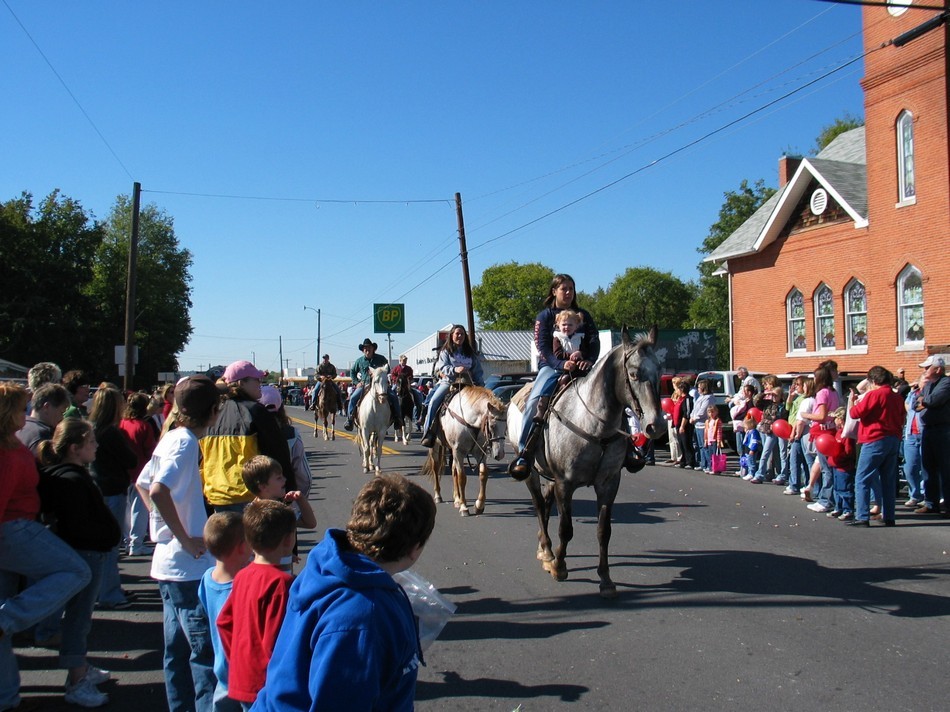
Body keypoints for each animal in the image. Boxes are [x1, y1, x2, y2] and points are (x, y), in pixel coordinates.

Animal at [424, 386, 510, 516]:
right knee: (436, 467)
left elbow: (483, 474)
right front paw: (464, 507)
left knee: (453, 469)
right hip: (435, 447)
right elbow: (462, 477)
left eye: (506, 427)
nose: (500, 454)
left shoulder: (478, 452)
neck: (470, 422)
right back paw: (438, 496)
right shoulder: (459, 451)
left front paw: (479, 505)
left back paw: (457, 498)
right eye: (492, 426)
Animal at [510, 326, 664, 596]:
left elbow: (604, 531)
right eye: (634, 373)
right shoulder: (565, 483)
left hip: (549, 475)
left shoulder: (609, 483)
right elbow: (566, 528)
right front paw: (560, 567)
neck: (594, 426)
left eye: (660, 370)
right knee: (539, 505)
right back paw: (548, 552)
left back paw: (544, 550)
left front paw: (606, 579)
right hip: (531, 472)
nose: (655, 426)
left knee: (546, 504)